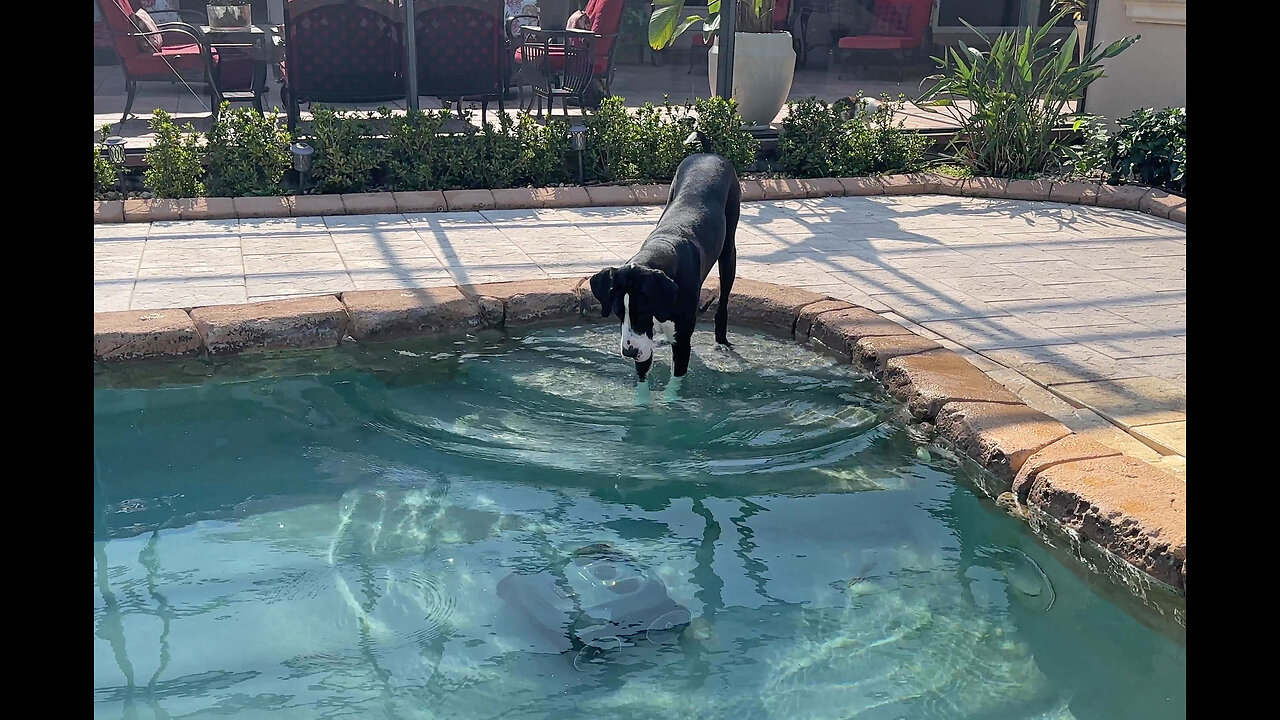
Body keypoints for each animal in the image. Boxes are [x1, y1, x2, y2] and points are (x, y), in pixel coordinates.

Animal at [588, 142, 742, 384]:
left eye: (642, 312)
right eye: (618, 313)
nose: (628, 352)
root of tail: (708, 153)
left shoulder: (681, 344)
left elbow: (675, 386)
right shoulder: (643, 349)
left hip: (729, 253)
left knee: (724, 298)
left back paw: (721, 341)